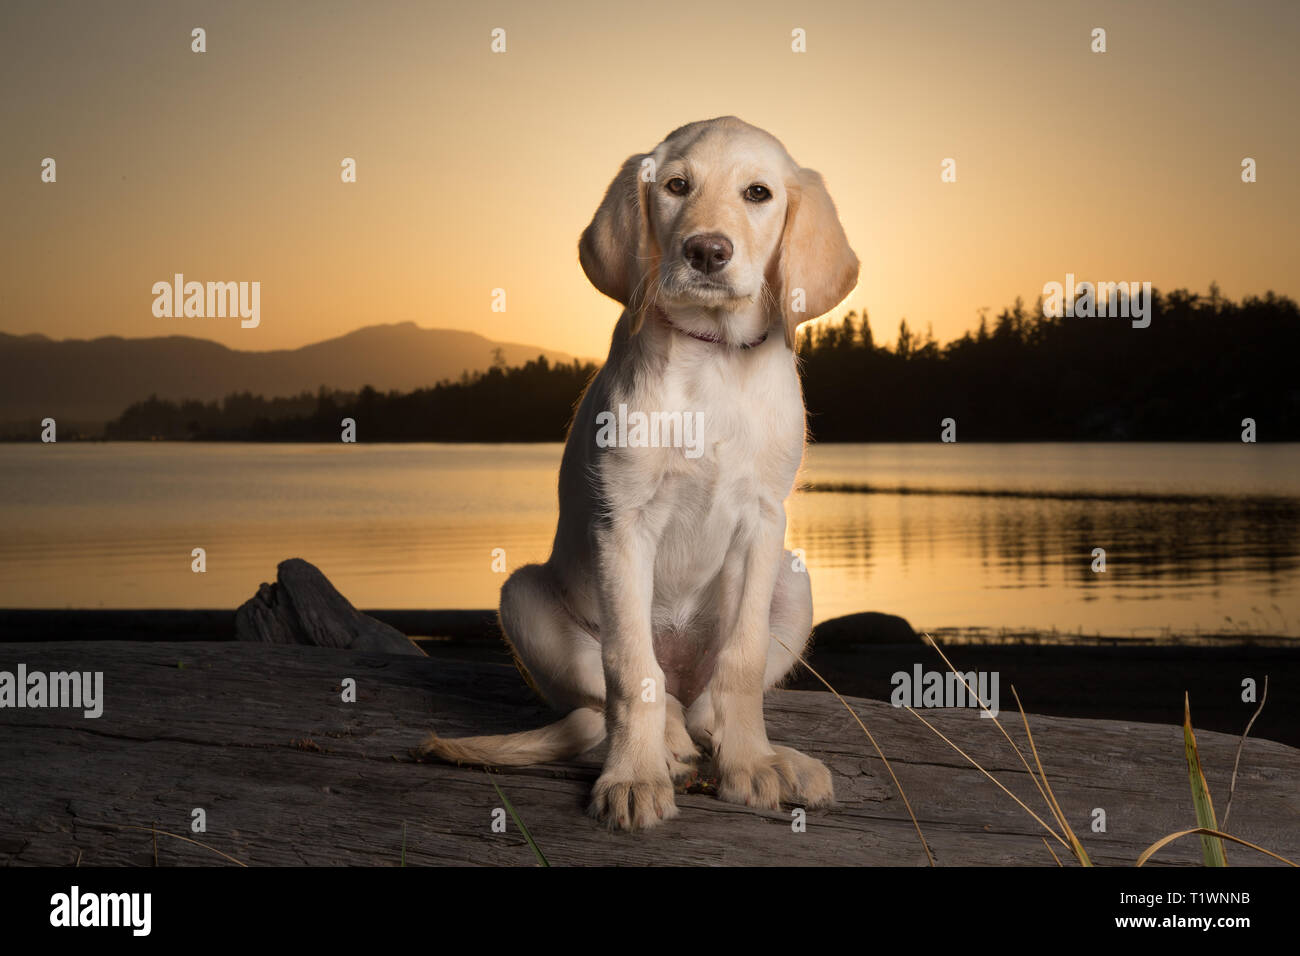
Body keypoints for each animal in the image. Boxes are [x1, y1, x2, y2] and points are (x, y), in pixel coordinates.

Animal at [421, 113, 857, 832]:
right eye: (676, 186)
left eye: (758, 194)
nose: (706, 251)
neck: (711, 360)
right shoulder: (622, 522)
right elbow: (630, 668)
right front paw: (633, 777)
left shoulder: (764, 521)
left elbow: (741, 662)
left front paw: (752, 765)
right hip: (523, 598)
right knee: (640, 698)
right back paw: (667, 748)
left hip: (794, 582)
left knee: (706, 703)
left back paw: (772, 757)